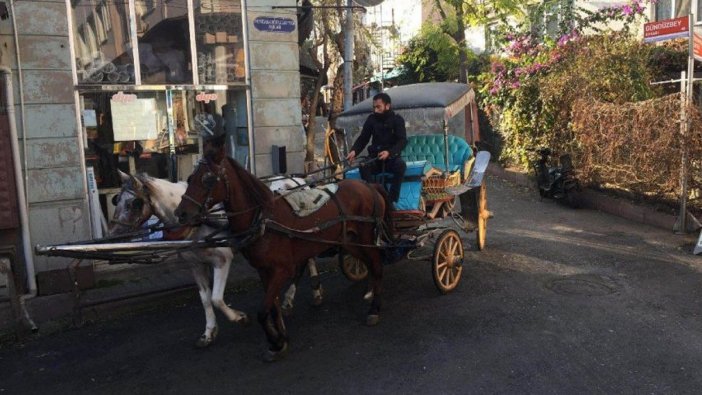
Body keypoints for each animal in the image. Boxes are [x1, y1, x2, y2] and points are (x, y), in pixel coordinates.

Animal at [108, 172, 324, 348]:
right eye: (117, 200)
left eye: (134, 203)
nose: (112, 234)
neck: (197, 221)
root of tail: (300, 180)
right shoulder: (195, 265)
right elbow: (205, 299)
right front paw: (209, 332)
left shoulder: (222, 260)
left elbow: (216, 298)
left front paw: (240, 318)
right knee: (307, 259)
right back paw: (303, 295)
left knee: (304, 263)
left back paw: (304, 294)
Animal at [173, 156, 394, 360]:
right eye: (190, 178)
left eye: (208, 179)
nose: (180, 213)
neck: (263, 217)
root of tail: (369, 185)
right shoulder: (264, 270)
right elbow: (272, 307)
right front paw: (280, 339)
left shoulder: (281, 269)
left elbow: (263, 311)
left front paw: (275, 340)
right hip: (349, 242)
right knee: (370, 264)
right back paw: (369, 292)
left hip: (365, 238)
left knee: (377, 264)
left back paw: (374, 309)